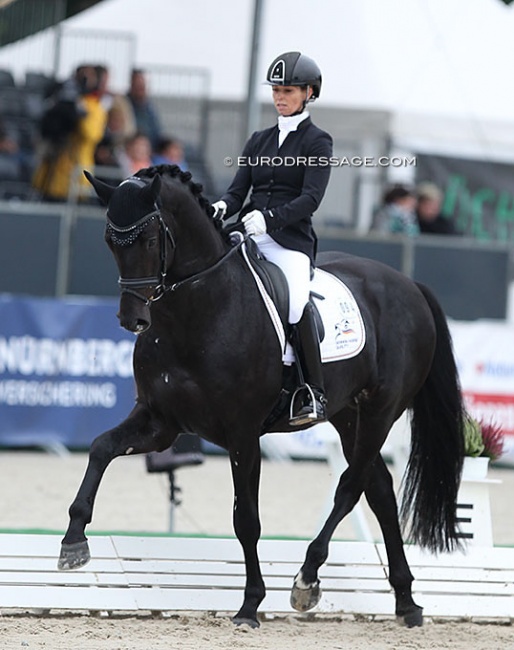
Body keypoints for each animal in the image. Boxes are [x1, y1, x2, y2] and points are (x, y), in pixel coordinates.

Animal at [57, 166, 464, 628]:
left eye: (148, 240)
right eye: (110, 240)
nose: (133, 319)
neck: (197, 311)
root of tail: (408, 283)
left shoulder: (243, 433)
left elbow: (246, 519)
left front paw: (250, 605)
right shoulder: (160, 422)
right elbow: (101, 447)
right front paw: (73, 542)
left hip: (382, 409)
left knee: (351, 485)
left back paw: (307, 580)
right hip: (348, 415)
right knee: (378, 487)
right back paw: (407, 602)